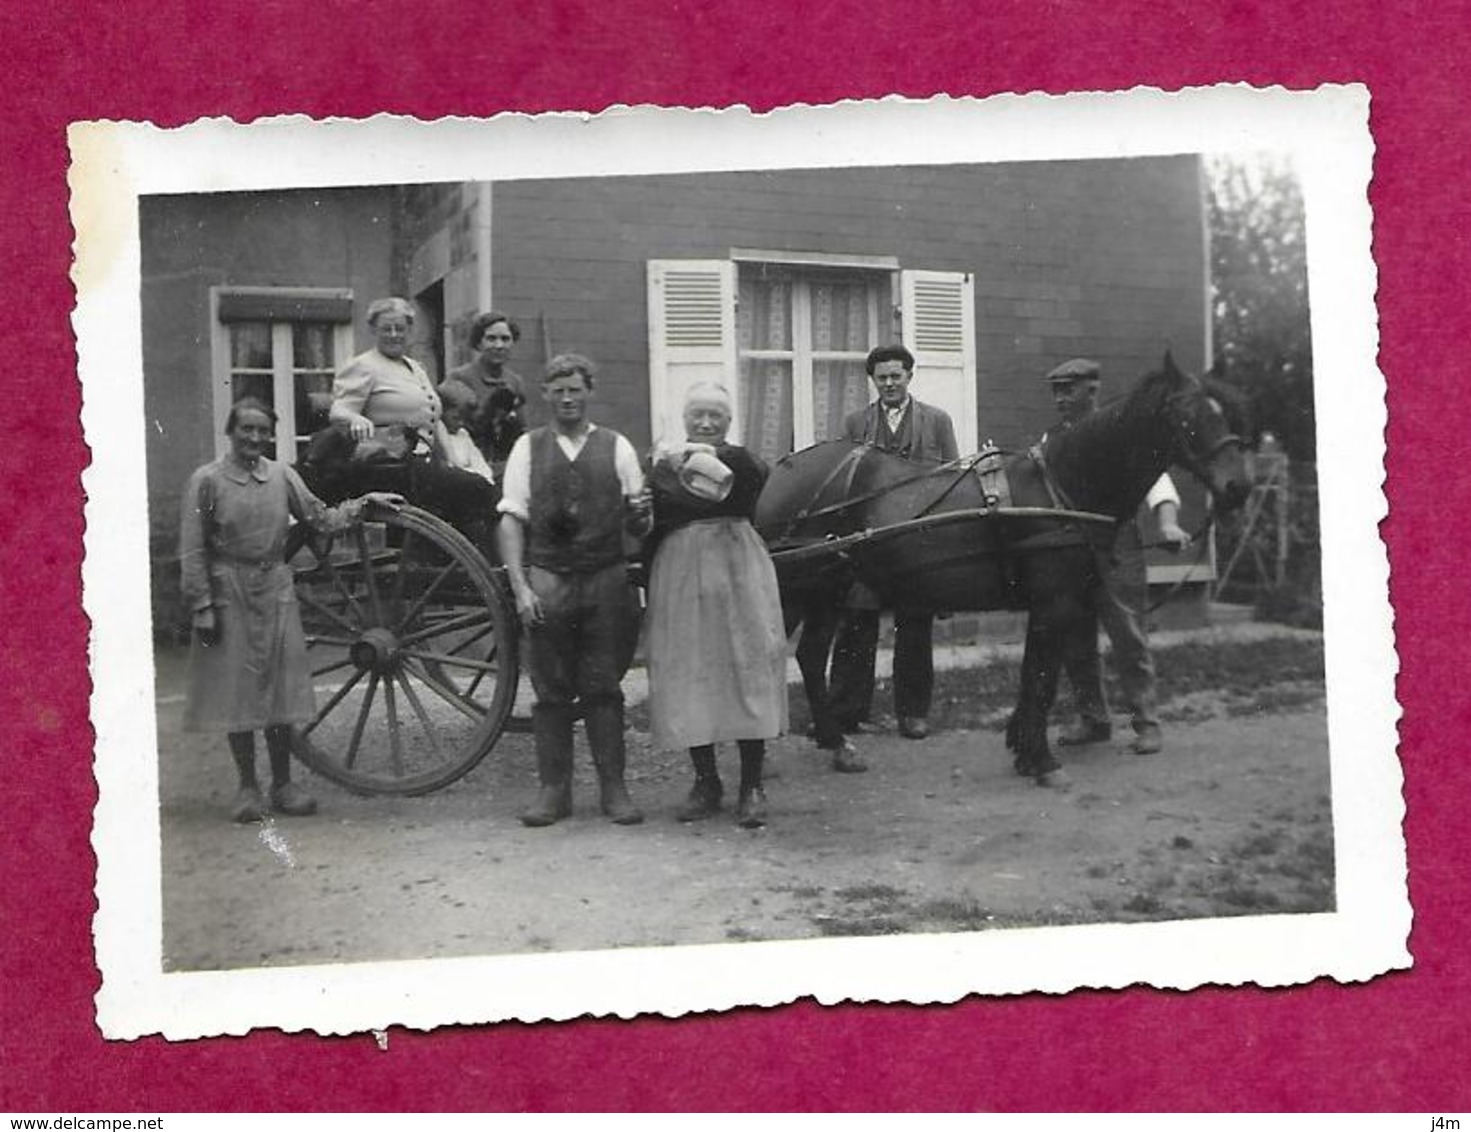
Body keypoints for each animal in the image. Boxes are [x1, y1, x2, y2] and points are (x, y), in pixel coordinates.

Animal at [759, 352, 1253, 787]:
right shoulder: (1054, 602)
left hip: (826, 590)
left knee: (808, 656)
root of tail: (782, 468)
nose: (1239, 488)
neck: (1061, 486)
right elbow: (1040, 679)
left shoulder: (1058, 603)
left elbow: (1039, 676)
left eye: (1226, 413)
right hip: (793, 588)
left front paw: (1025, 751)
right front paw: (1041, 761)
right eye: (1185, 416)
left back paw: (838, 745)